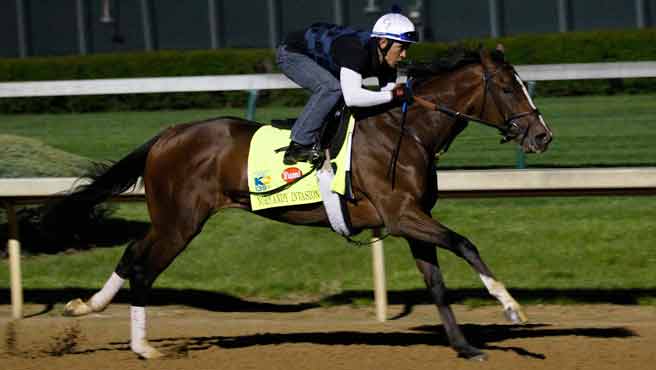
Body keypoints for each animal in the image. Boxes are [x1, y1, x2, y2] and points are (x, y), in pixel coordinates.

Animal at [43, 44, 552, 360]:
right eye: (509, 88)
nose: (543, 136)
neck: (405, 131)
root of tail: (168, 135)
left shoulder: (413, 221)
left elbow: (438, 285)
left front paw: (465, 346)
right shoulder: (402, 215)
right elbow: (466, 244)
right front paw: (511, 308)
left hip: (170, 219)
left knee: (131, 255)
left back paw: (86, 308)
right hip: (180, 222)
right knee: (144, 268)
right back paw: (144, 347)